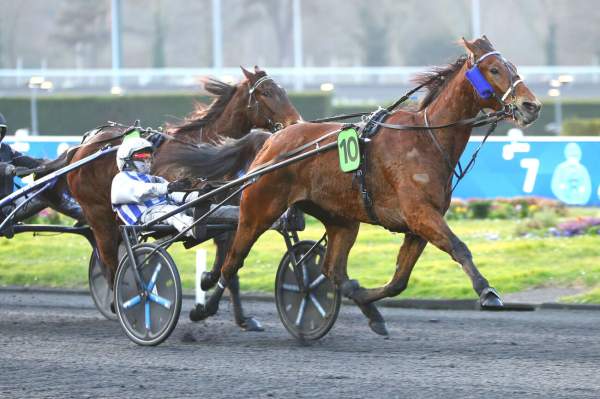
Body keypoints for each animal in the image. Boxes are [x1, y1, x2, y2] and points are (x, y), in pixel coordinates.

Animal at [67, 66, 300, 332]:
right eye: (266, 92)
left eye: (282, 90)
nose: (296, 123)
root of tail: (82, 148)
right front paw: (205, 294)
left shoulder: (229, 215)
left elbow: (231, 261)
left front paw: (233, 311)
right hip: (98, 214)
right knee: (108, 259)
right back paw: (124, 302)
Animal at [195, 37, 540, 338]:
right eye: (494, 69)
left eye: (512, 66)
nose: (531, 105)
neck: (425, 139)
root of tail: (274, 137)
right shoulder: (420, 214)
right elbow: (459, 247)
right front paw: (487, 291)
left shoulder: (418, 225)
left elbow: (399, 281)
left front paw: (368, 304)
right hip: (258, 209)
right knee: (233, 261)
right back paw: (206, 306)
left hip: (342, 220)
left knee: (333, 270)